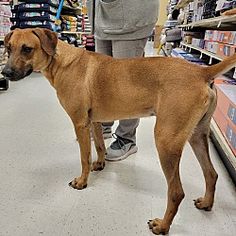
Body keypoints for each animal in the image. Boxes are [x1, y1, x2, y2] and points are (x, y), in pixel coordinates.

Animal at [2, 28, 236, 235]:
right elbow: (99, 145)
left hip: (166, 141)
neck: (62, 61)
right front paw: (100, 164)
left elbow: (84, 157)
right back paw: (206, 203)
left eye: (27, 49)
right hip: (197, 136)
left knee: (177, 192)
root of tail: (201, 71)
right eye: (8, 48)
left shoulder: (80, 123)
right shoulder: (94, 121)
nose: (5, 73)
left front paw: (82, 181)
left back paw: (162, 226)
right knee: (212, 174)